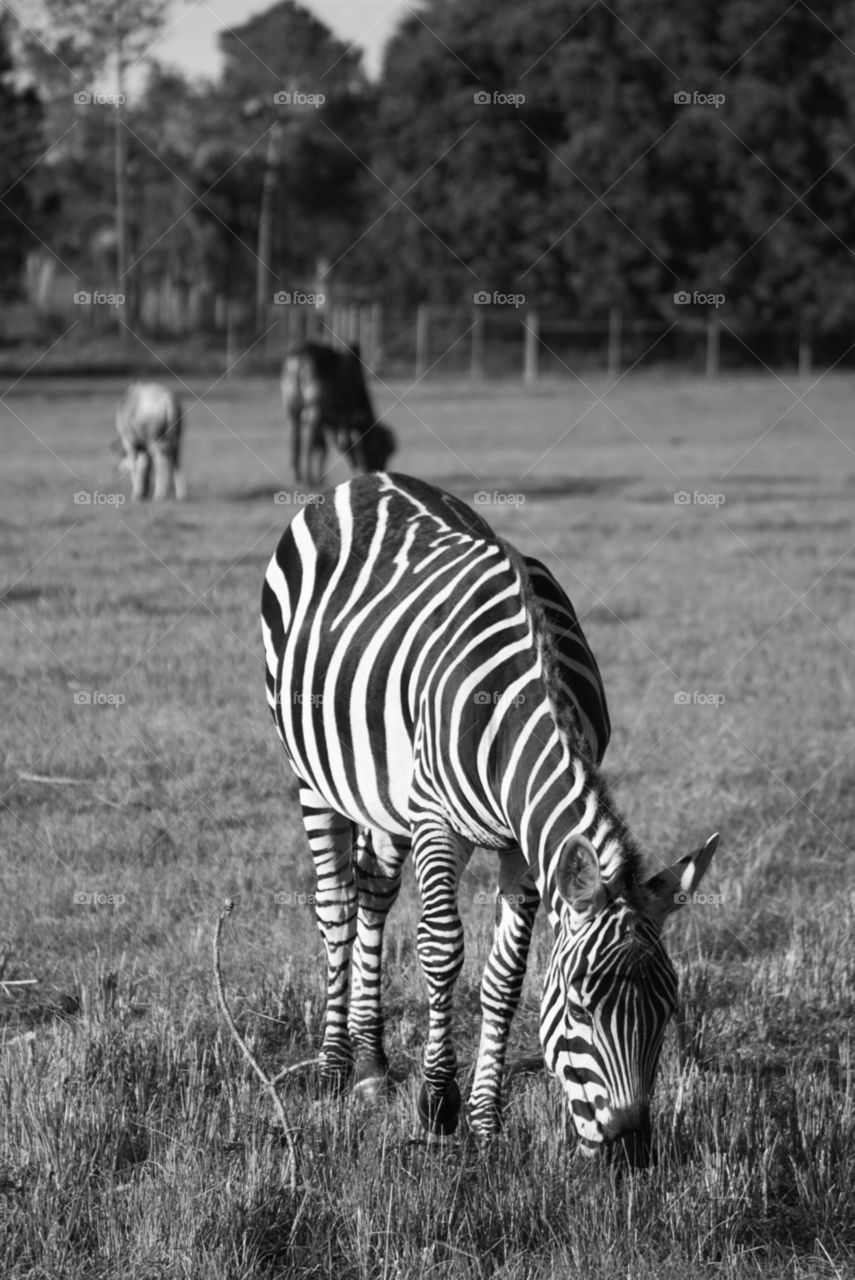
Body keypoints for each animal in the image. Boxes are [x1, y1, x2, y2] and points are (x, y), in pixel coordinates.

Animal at [260, 472, 718, 1163]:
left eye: (667, 1011)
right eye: (580, 1009)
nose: (631, 1153)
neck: (523, 697)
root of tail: (364, 480)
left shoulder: (521, 845)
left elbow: (504, 977)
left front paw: (484, 1120)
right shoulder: (434, 820)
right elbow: (441, 947)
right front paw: (437, 1105)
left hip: (385, 799)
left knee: (373, 895)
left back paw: (369, 1065)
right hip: (315, 774)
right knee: (336, 907)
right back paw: (334, 1065)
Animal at [281, 341, 396, 486]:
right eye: (380, 451)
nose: (379, 471)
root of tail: (301, 351)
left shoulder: (327, 422)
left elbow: (323, 447)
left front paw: (322, 477)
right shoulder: (344, 415)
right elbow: (343, 443)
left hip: (292, 407)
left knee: (296, 440)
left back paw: (298, 476)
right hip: (314, 408)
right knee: (309, 444)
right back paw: (310, 479)